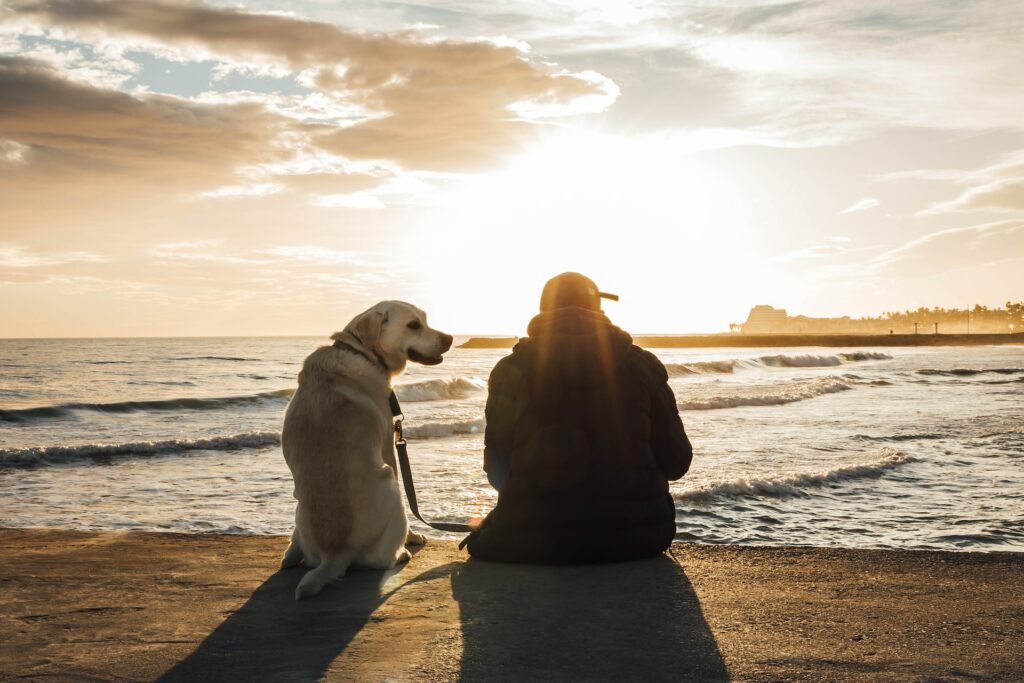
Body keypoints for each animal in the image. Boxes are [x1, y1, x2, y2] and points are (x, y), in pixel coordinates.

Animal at [282, 301, 454, 602]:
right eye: (413, 325)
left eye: (425, 319)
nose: (450, 338)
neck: (361, 352)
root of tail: (334, 555)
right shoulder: (387, 445)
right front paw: (413, 536)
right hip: (391, 486)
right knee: (382, 558)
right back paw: (401, 552)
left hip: (298, 507)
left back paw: (290, 555)